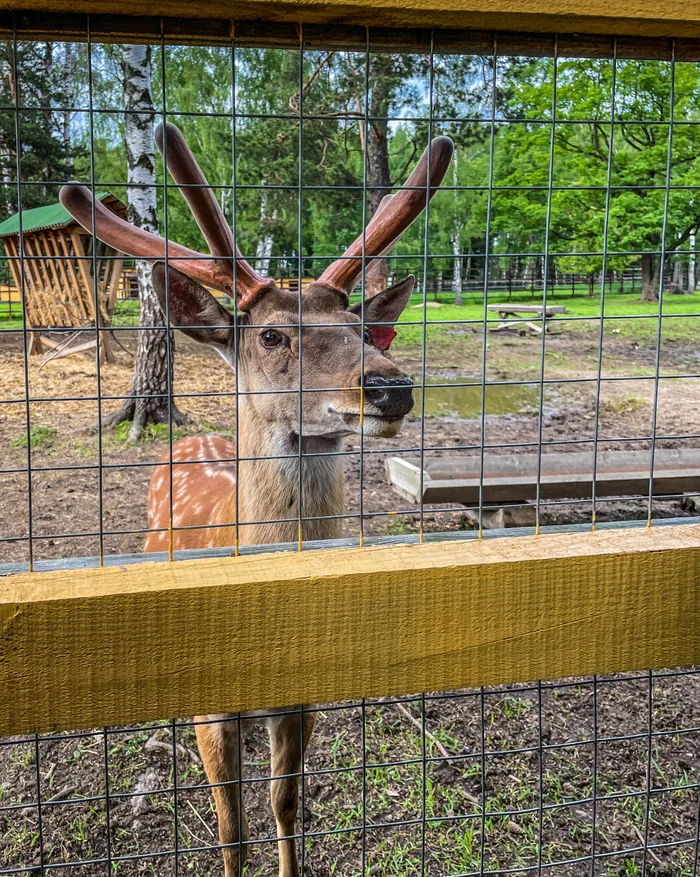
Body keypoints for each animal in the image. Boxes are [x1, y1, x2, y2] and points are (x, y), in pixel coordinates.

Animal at [58, 125, 454, 876]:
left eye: (362, 330)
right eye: (271, 334)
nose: (390, 386)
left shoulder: (301, 701)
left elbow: (285, 807)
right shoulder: (214, 709)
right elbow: (231, 827)